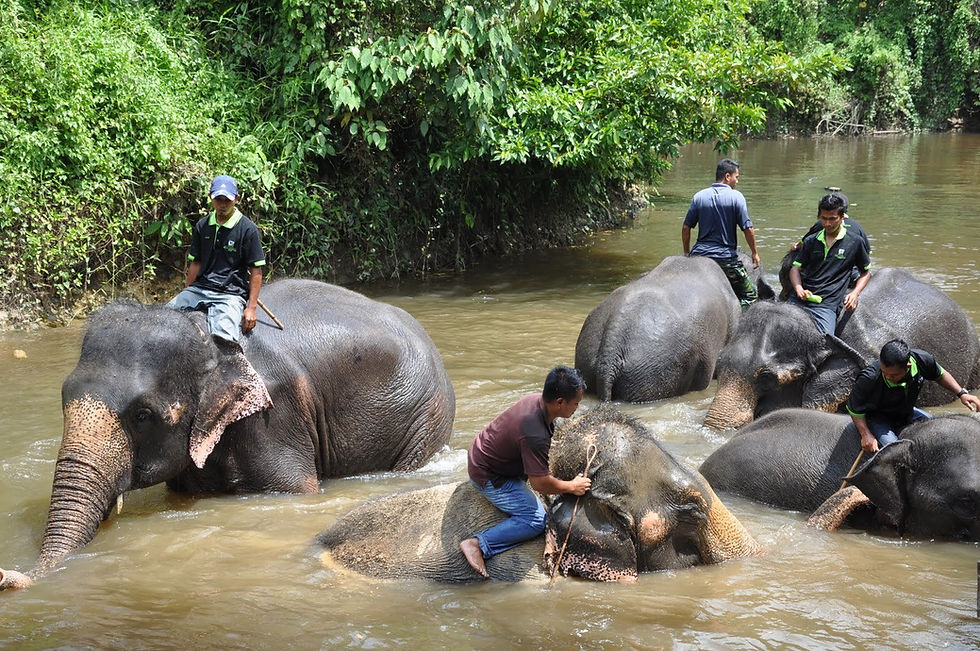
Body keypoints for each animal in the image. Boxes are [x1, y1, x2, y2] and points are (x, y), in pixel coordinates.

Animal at [0, 279, 455, 590]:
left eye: (143, 416)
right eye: (64, 397)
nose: (11, 577)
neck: (204, 336)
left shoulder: (275, 417)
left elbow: (297, 490)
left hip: (426, 417)